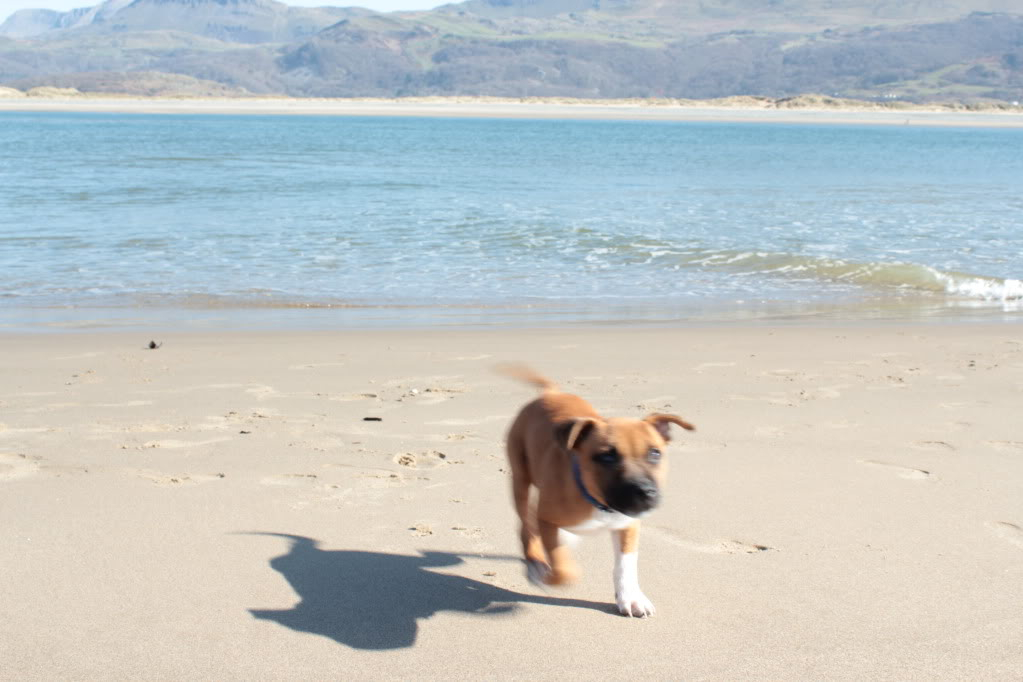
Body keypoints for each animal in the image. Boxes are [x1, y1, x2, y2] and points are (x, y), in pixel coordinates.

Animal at [501, 368, 695, 617]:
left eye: (655, 453)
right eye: (607, 456)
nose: (644, 491)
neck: (601, 504)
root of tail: (549, 394)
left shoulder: (629, 525)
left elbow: (626, 564)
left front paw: (631, 597)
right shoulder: (547, 518)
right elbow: (564, 569)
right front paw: (548, 574)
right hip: (520, 477)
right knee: (526, 523)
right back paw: (536, 562)